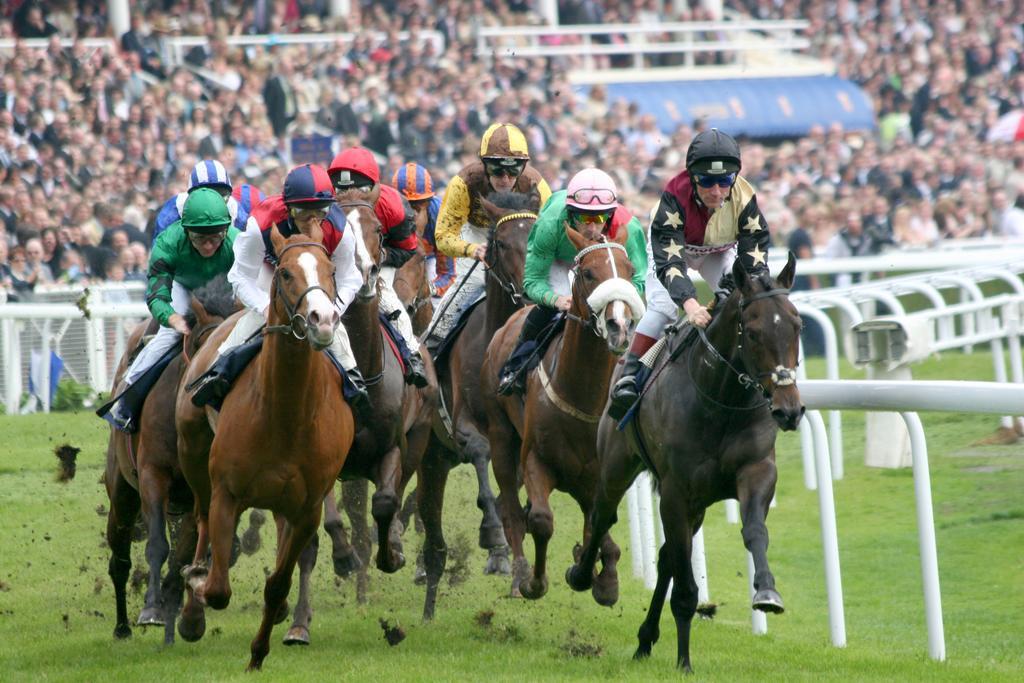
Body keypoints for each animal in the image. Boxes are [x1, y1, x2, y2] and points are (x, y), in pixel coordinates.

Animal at [103, 274, 235, 643]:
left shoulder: (199, 492)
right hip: (122, 491)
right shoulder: (153, 473)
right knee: (119, 557)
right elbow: (158, 545)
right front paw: (151, 609)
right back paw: (121, 625)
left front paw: (184, 613)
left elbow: (184, 554)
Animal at [174, 227, 354, 671]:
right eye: (285, 273)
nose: (322, 320)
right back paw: (192, 605)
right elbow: (217, 588)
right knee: (201, 521)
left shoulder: (307, 509)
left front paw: (258, 653)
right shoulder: (227, 492)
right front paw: (197, 584)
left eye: (331, 270)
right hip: (193, 453)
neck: (286, 413)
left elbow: (278, 583)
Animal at [284, 194, 436, 643]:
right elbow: (329, 522)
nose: (367, 271)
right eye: (336, 228)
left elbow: (385, 503)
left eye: (378, 229)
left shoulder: (392, 447)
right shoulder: (321, 459)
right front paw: (343, 557)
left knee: (396, 496)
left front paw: (393, 554)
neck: (363, 376)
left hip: (419, 438)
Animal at [483, 228, 643, 602]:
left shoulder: (600, 473)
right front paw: (535, 582)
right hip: (501, 436)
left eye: (630, 271)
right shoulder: (535, 459)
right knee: (510, 508)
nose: (620, 326)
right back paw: (519, 573)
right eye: (588, 273)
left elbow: (601, 524)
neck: (582, 396)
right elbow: (541, 520)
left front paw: (600, 576)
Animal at [565, 254, 802, 671]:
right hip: (617, 466)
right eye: (753, 333)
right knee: (603, 515)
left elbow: (754, 531)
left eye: (798, 326)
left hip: (697, 505)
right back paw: (582, 575)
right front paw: (684, 662)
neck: (721, 401)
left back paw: (646, 638)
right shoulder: (676, 491)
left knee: (667, 558)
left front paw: (767, 592)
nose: (789, 411)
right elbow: (687, 587)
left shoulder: (756, 471)